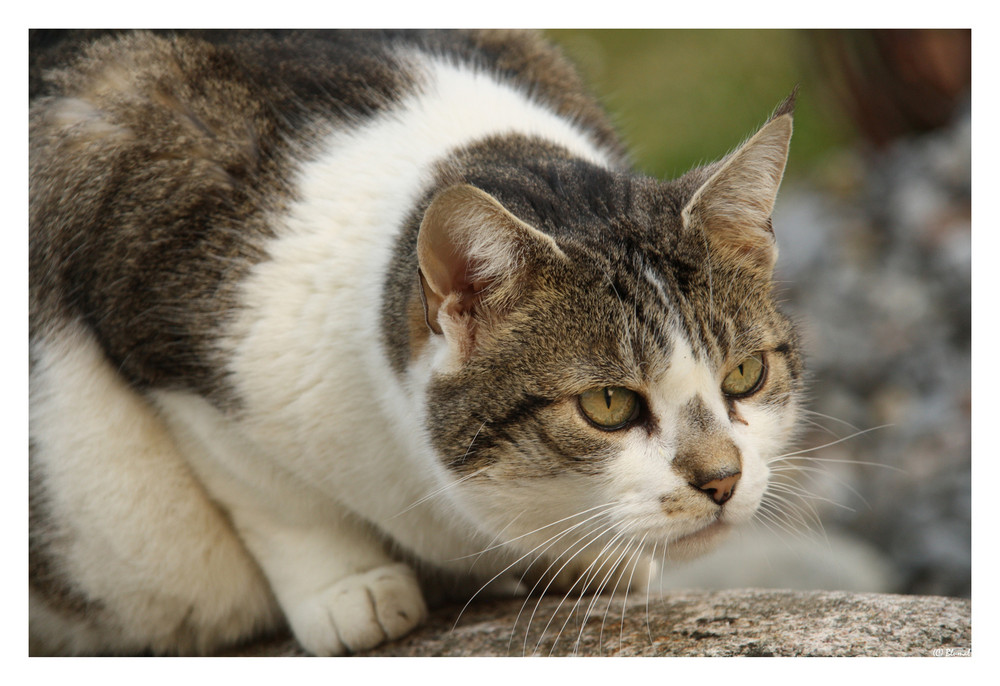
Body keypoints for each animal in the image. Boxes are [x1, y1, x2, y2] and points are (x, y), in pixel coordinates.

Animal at [29, 29, 804, 660]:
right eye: (609, 404)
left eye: (745, 373)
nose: (723, 479)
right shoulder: (169, 344)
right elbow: (270, 494)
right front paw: (352, 589)